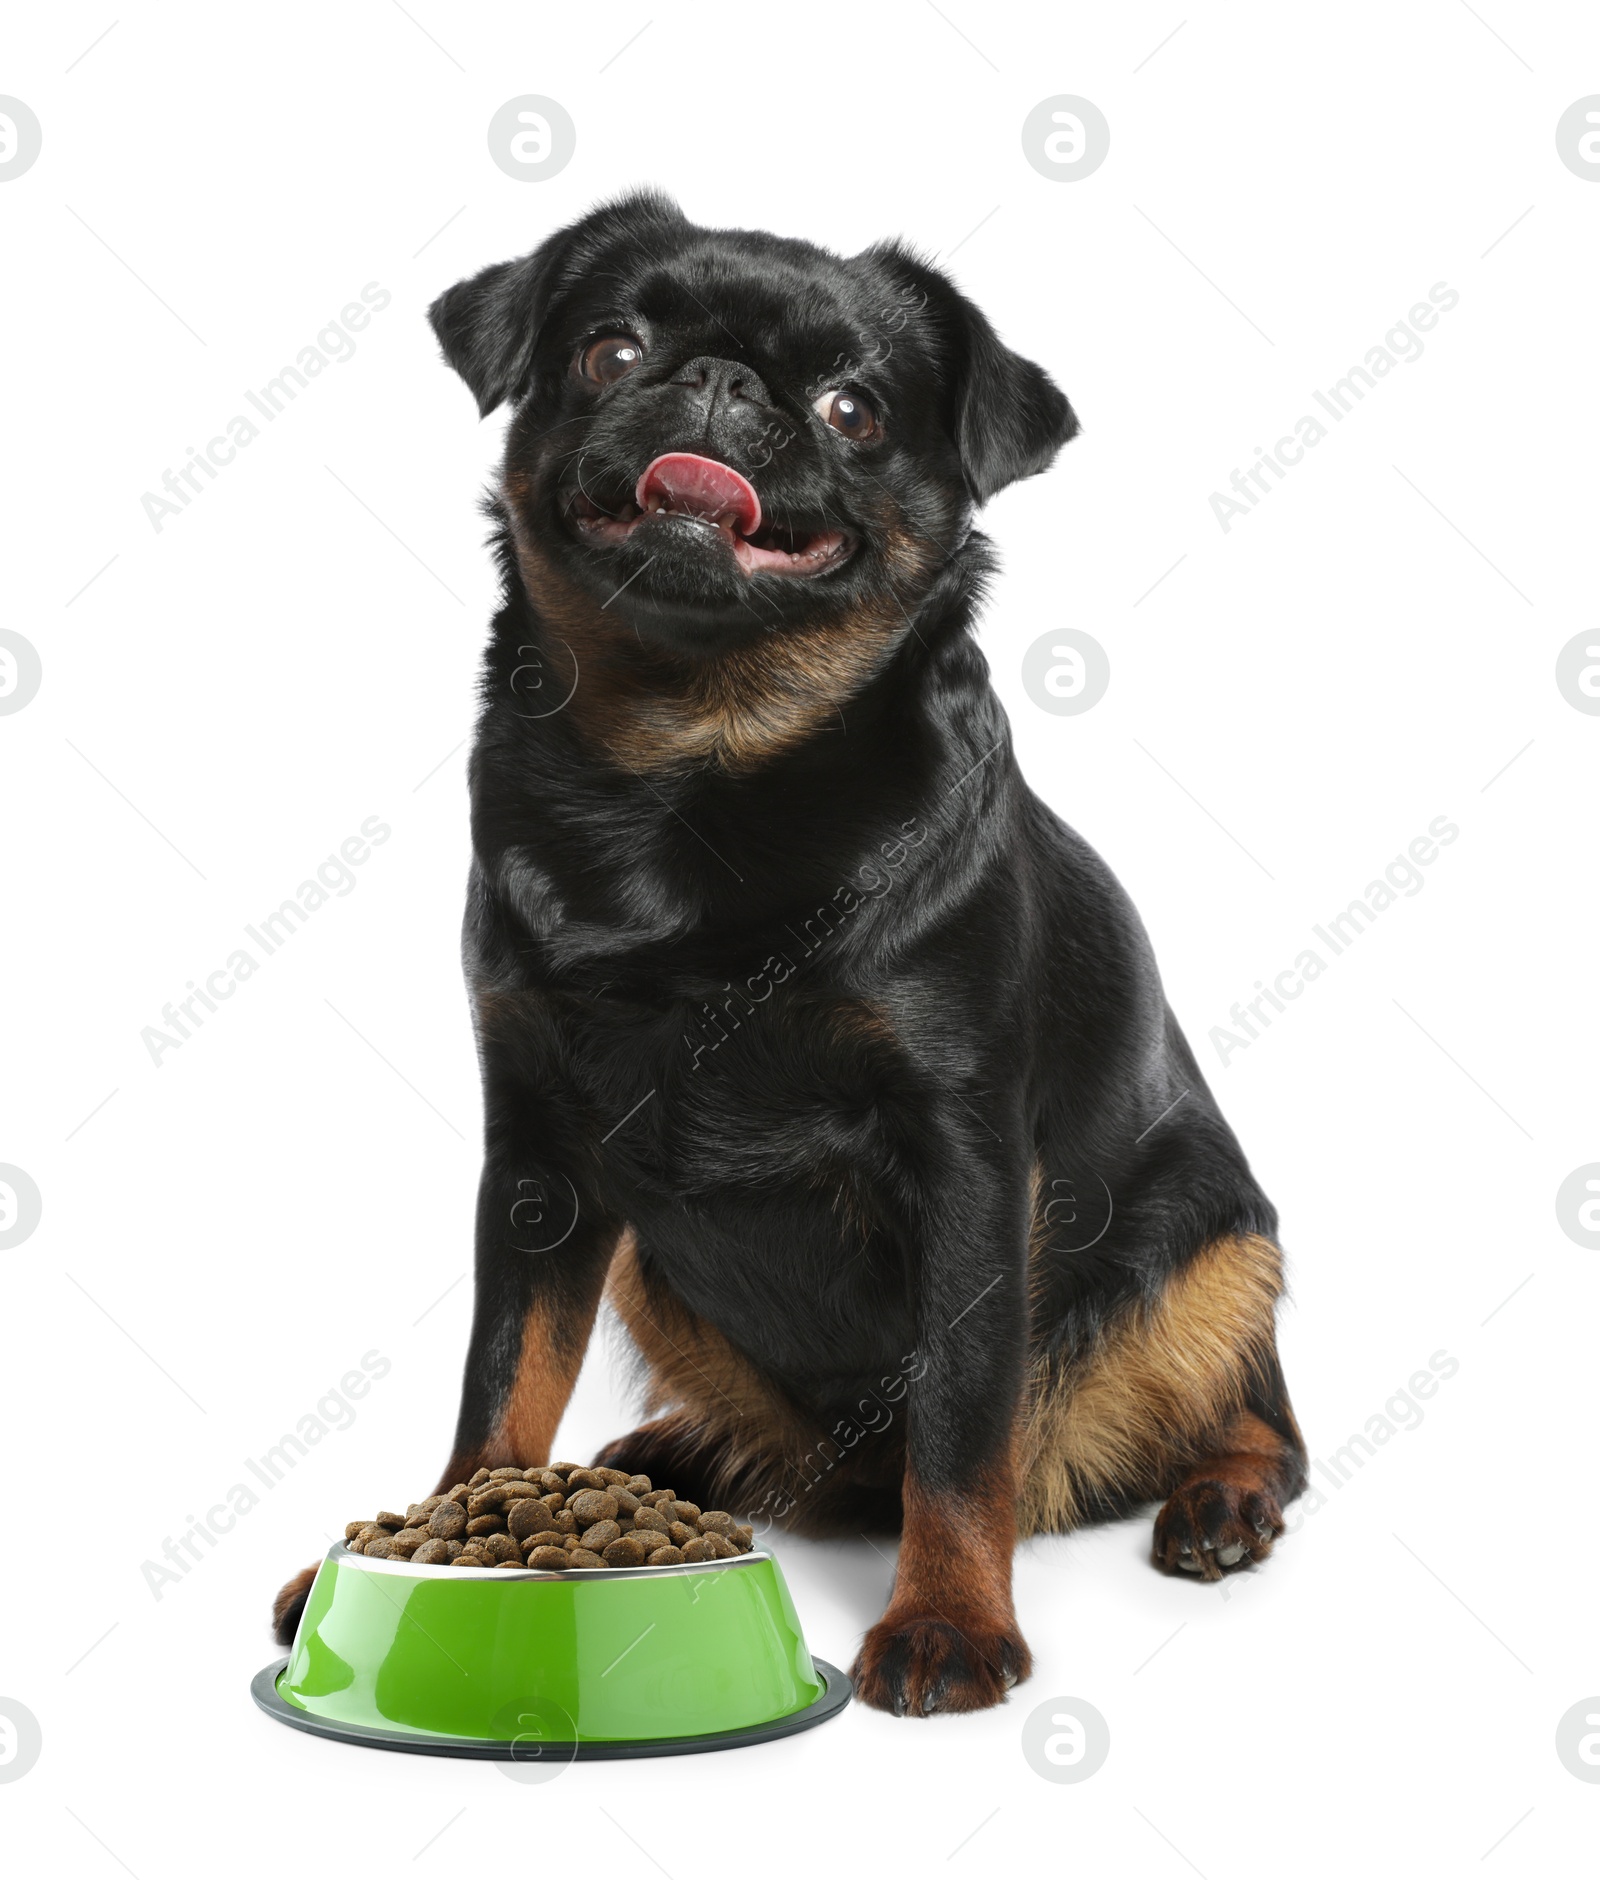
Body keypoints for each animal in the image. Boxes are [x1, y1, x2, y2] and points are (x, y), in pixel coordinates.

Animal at [272, 194, 1301, 1722]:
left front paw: (947, 1619)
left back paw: (1220, 1501)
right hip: (650, 1264)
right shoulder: (537, 1161)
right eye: (610, 347)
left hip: (1216, 1242)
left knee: (1255, 1412)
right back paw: (677, 1456)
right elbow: (502, 1375)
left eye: (852, 409)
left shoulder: (967, 1164)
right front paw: (442, 1535)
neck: (693, 764)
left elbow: (960, 1421)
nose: (718, 380)